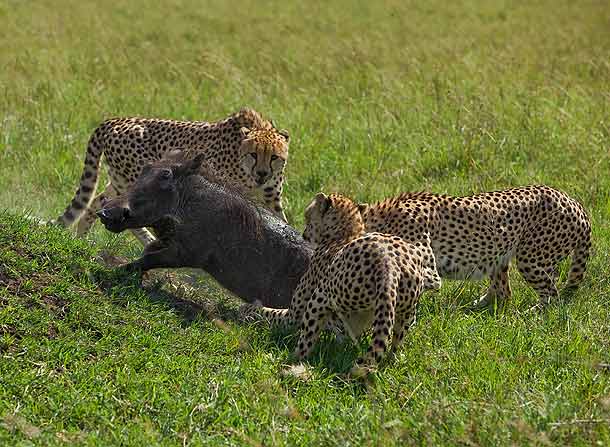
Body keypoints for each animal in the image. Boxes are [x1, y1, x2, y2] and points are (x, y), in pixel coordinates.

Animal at [52, 107, 290, 245]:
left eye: (274, 157)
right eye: (253, 154)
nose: (262, 173)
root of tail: (114, 120)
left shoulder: (271, 200)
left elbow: (286, 227)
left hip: (121, 179)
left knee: (100, 201)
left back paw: (80, 239)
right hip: (141, 177)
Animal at [241, 192, 436, 368]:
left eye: (307, 216)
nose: (304, 233)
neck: (346, 232)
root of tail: (389, 265)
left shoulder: (294, 314)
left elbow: (272, 312)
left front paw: (248, 309)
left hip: (320, 297)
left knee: (306, 341)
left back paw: (290, 359)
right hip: (406, 313)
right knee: (394, 345)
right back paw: (391, 361)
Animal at [356, 186, 588, 312]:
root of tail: (574, 202)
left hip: (530, 259)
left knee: (551, 295)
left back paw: (532, 314)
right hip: (498, 256)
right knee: (504, 292)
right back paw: (474, 307)